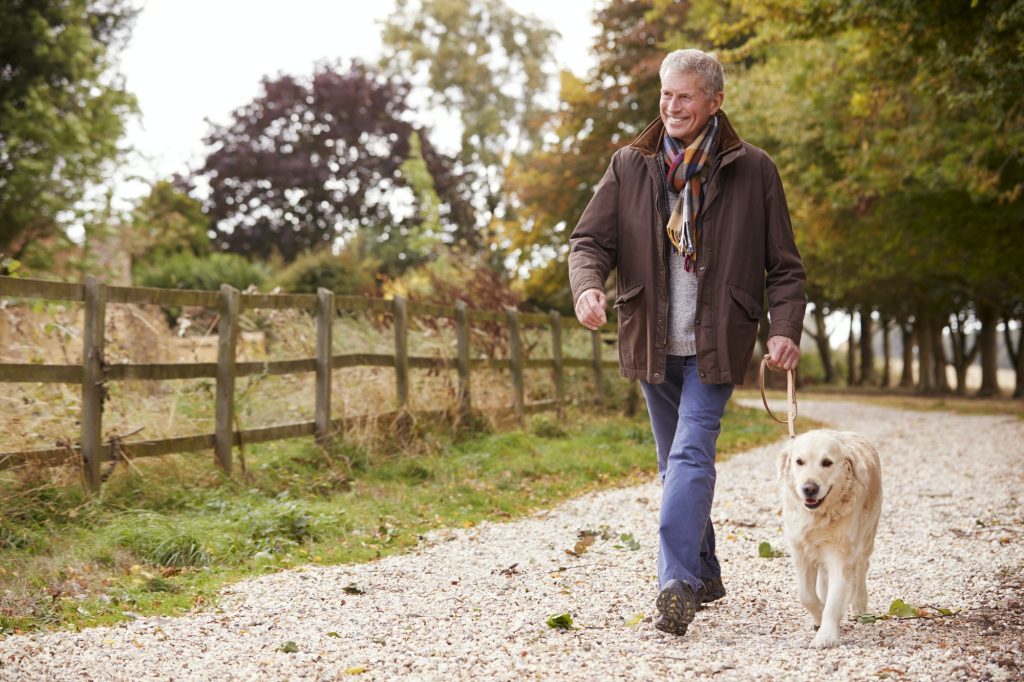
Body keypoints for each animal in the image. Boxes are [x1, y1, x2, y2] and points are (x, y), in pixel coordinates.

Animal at [778, 428, 884, 647]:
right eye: (799, 461)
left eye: (827, 462)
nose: (809, 488)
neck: (818, 516)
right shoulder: (801, 552)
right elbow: (806, 596)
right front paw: (819, 615)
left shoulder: (840, 556)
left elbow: (834, 601)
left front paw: (826, 635)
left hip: (866, 538)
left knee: (862, 568)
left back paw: (859, 604)